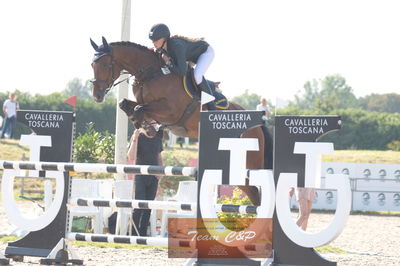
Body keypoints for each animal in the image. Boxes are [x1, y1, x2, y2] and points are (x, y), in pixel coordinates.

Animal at [90, 36, 276, 205]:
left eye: (105, 65)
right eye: (92, 65)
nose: (97, 96)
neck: (151, 73)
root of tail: (258, 125)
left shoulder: (171, 111)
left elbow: (139, 109)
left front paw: (146, 126)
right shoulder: (146, 104)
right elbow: (126, 104)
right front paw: (147, 127)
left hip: (249, 161)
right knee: (252, 192)